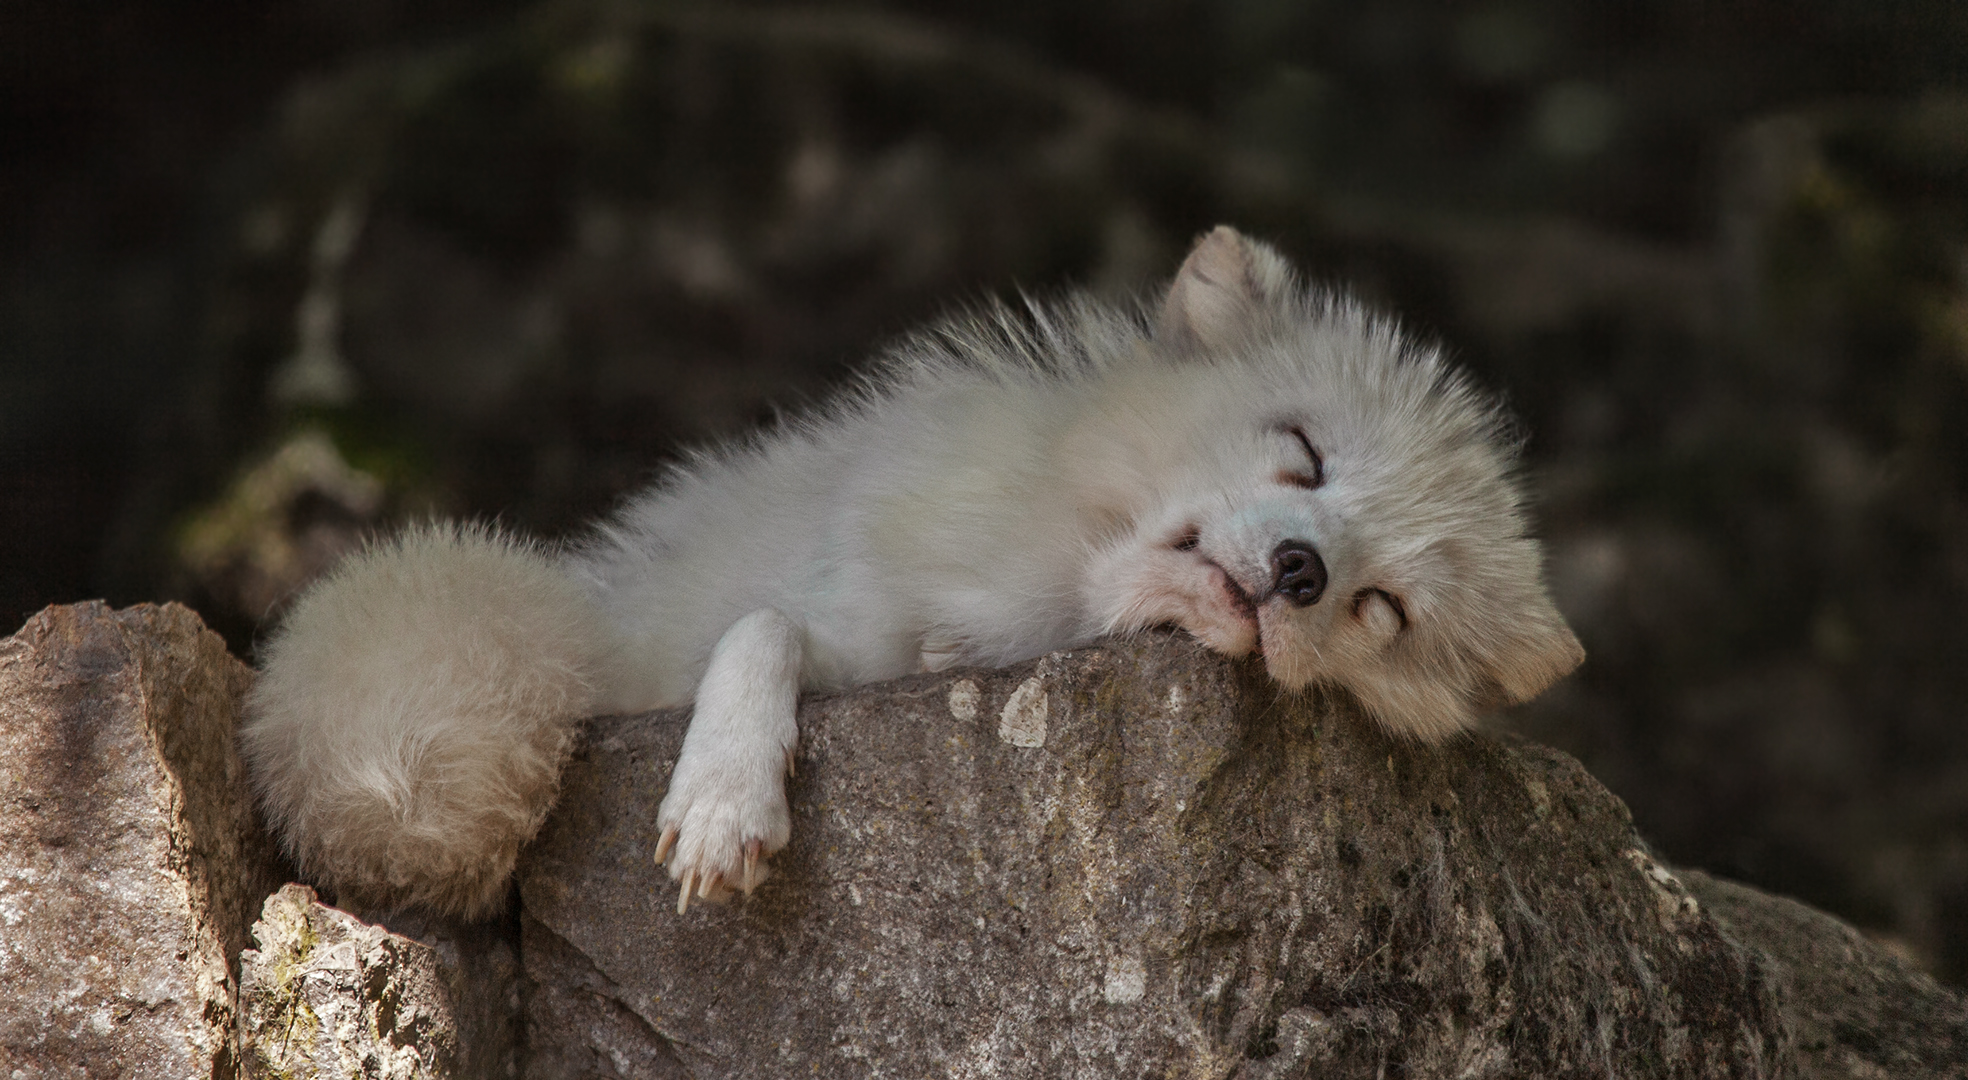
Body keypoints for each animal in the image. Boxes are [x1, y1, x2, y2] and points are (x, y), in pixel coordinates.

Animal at [242, 227, 1582, 916]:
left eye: (1382, 608)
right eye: (1303, 451)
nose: (1300, 572)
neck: (1041, 598)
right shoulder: (826, 617)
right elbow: (763, 628)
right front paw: (724, 800)